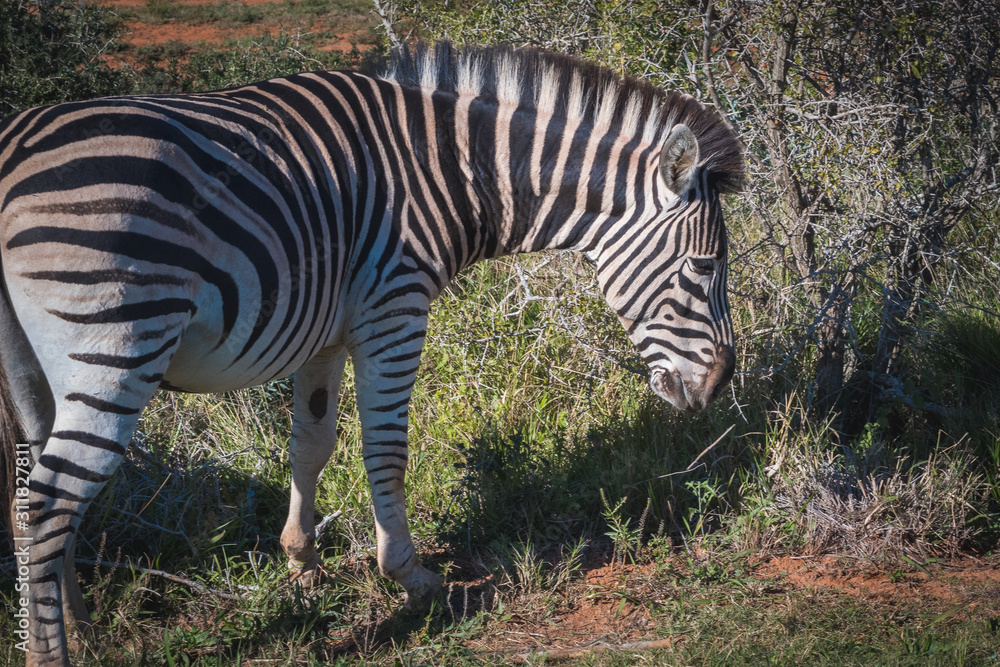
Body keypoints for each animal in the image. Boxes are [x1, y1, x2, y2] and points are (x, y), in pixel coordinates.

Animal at [0, 42, 743, 665]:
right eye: (705, 267)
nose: (718, 386)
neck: (449, 168)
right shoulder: (394, 307)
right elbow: (385, 448)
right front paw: (411, 575)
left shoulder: (324, 328)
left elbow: (311, 443)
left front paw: (302, 563)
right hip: (118, 341)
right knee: (48, 502)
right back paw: (52, 653)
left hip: (32, 370)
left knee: (31, 490)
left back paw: (81, 627)